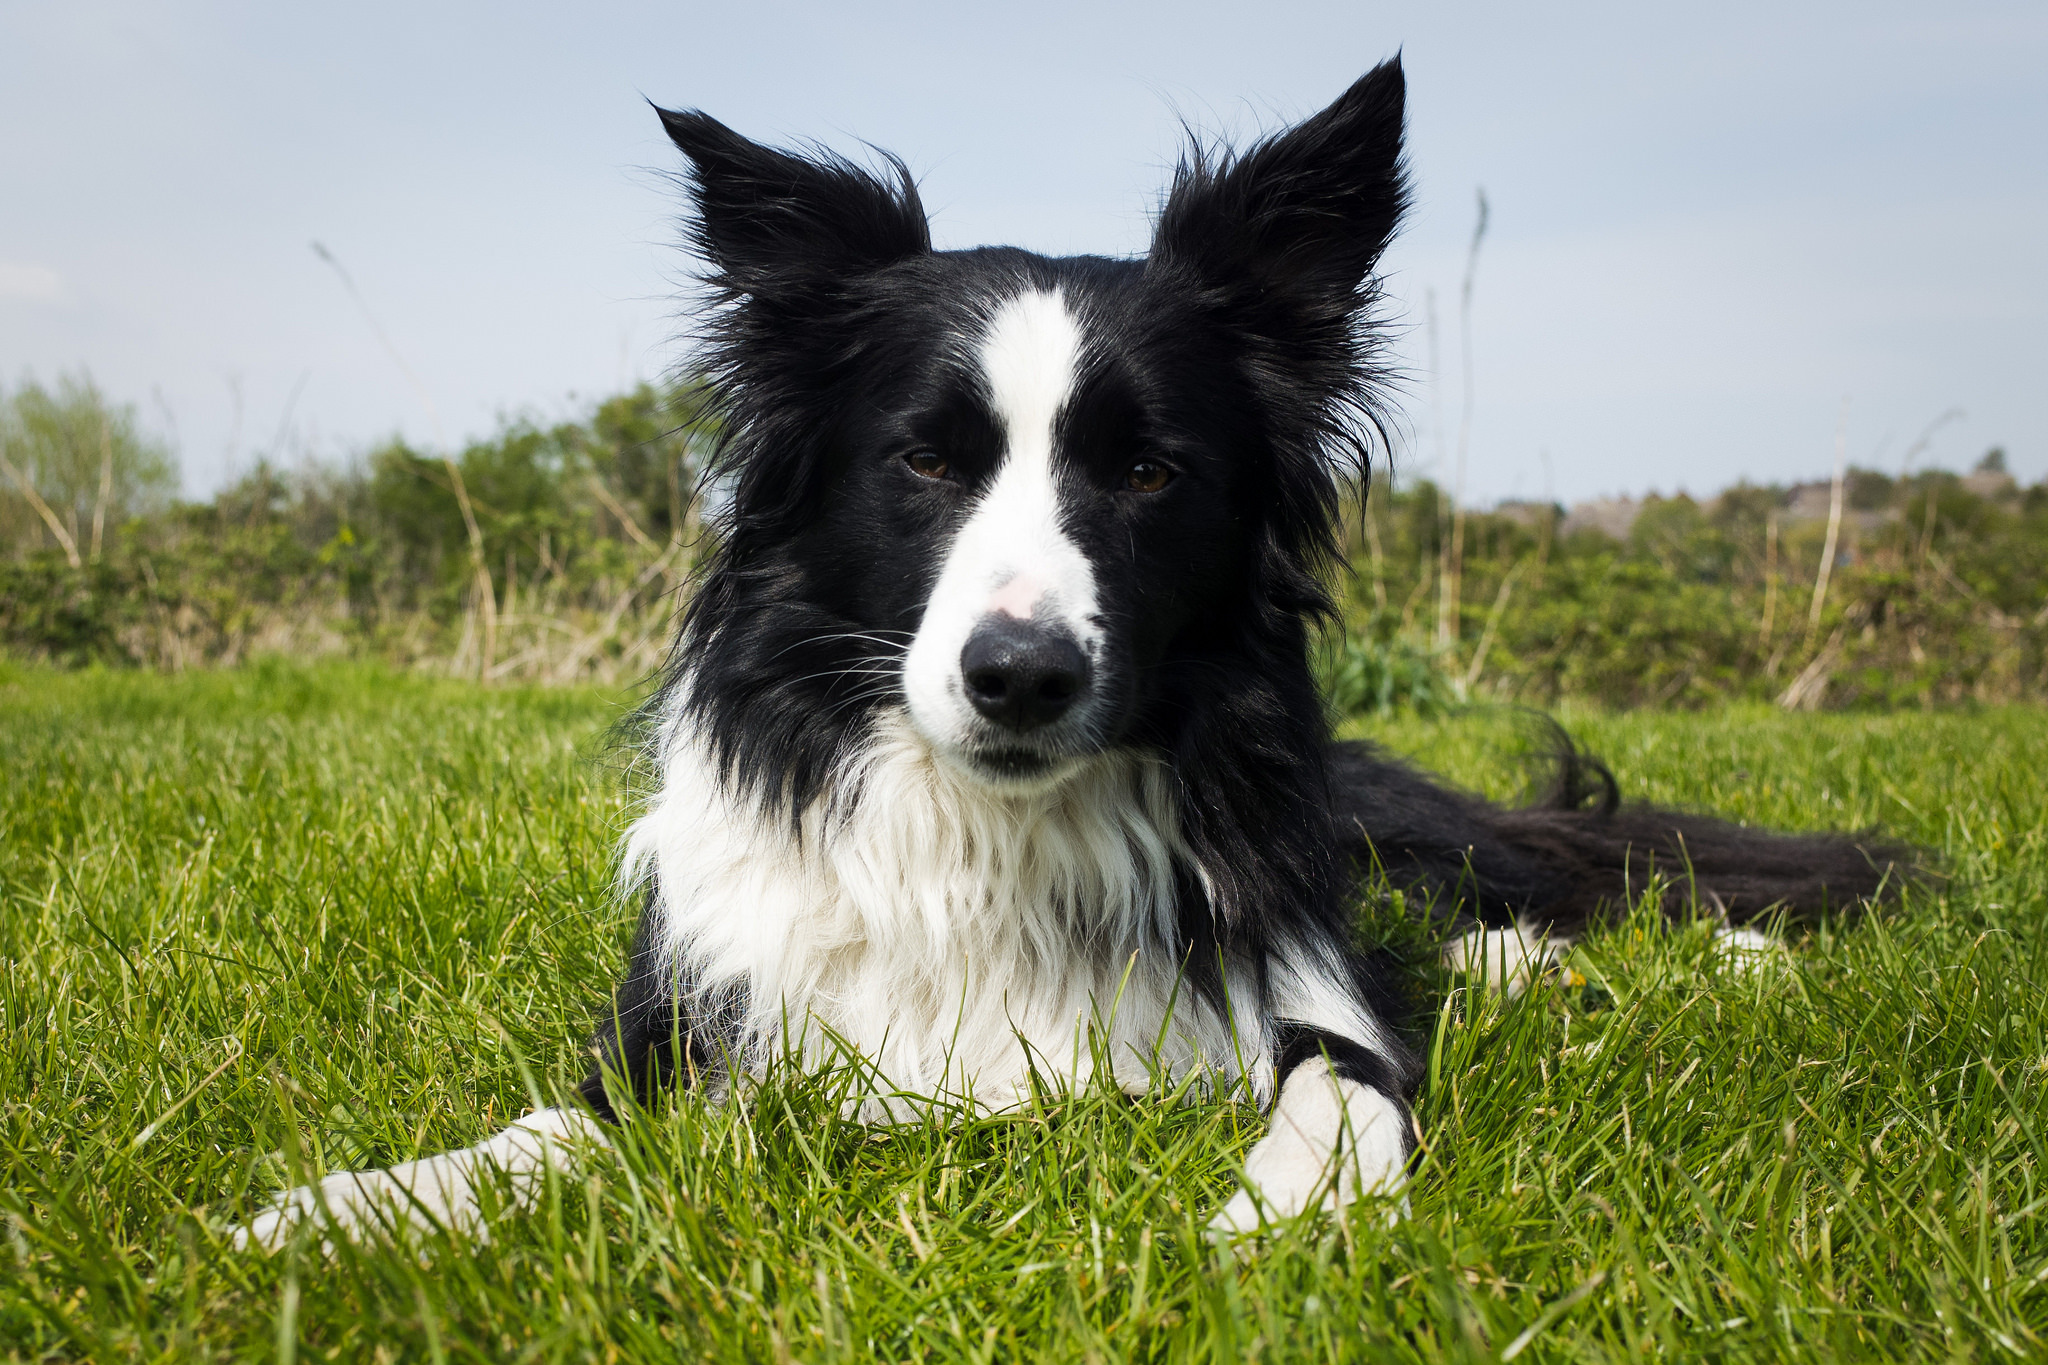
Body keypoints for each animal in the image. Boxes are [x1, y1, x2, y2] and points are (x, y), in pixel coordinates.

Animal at [243, 63, 1900, 1252]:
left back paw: (1700, 955)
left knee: (1561, 878)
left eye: (1150, 474)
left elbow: (1345, 1080)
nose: (1021, 675)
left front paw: (1288, 1211)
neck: (991, 835)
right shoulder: (696, 1017)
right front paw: (365, 1202)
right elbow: (553, 1130)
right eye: (924, 461)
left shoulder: (1304, 982)